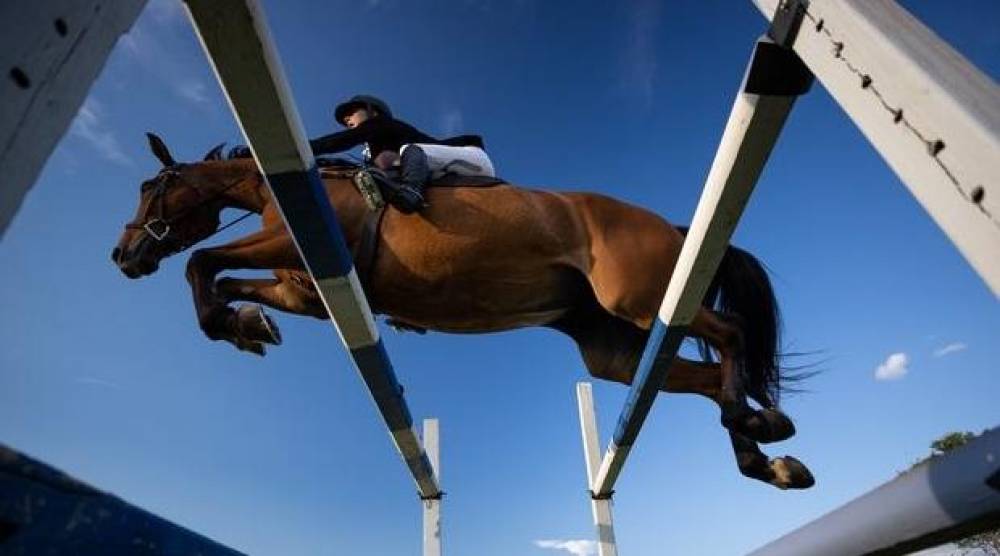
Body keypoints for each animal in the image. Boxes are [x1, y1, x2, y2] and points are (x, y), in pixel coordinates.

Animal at [111, 132, 812, 488]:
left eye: (151, 186)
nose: (123, 255)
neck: (275, 188)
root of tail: (672, 227)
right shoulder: (305, 290)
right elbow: (224, 280)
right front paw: (245, 327)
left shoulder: (296, 245)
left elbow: (203, 263)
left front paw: (233, 324)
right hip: (612, 346)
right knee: (698, 376)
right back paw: (763, 450)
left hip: (636, 299)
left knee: (732, 334)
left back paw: (759, 428)